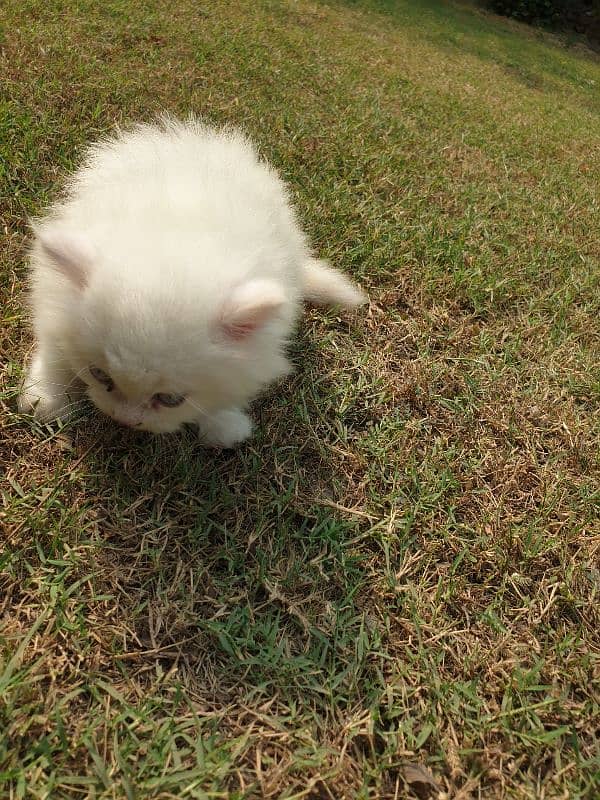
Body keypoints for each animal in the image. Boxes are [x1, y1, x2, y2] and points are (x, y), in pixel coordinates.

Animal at [18, 116, 366, 446]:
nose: (125, 420)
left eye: (170, 400)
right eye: (99, 375)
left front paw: (224, 424)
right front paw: (46, 398)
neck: (177, 238)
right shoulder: (52, 300)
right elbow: (54, 350)